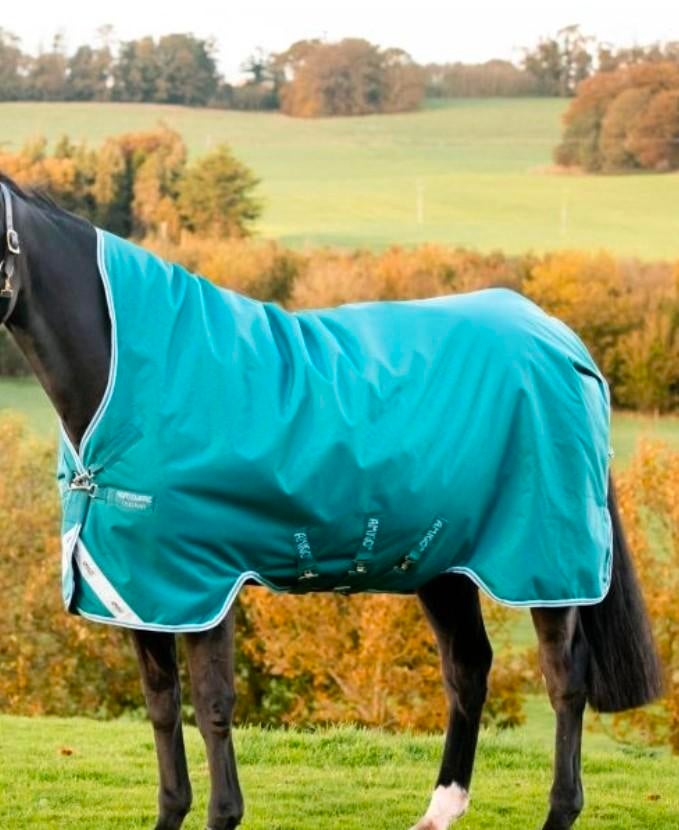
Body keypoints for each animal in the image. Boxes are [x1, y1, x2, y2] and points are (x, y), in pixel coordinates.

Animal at [0, 173, 663, 830]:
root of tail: (563, 340)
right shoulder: (145, 595)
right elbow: (163, 708)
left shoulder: (206, 585)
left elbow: (212, 708)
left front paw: (224, 813)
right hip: (444, 563)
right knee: (468, 669)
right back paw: (439, 810)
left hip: (546, 566)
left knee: (565, 680)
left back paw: (558, 809)